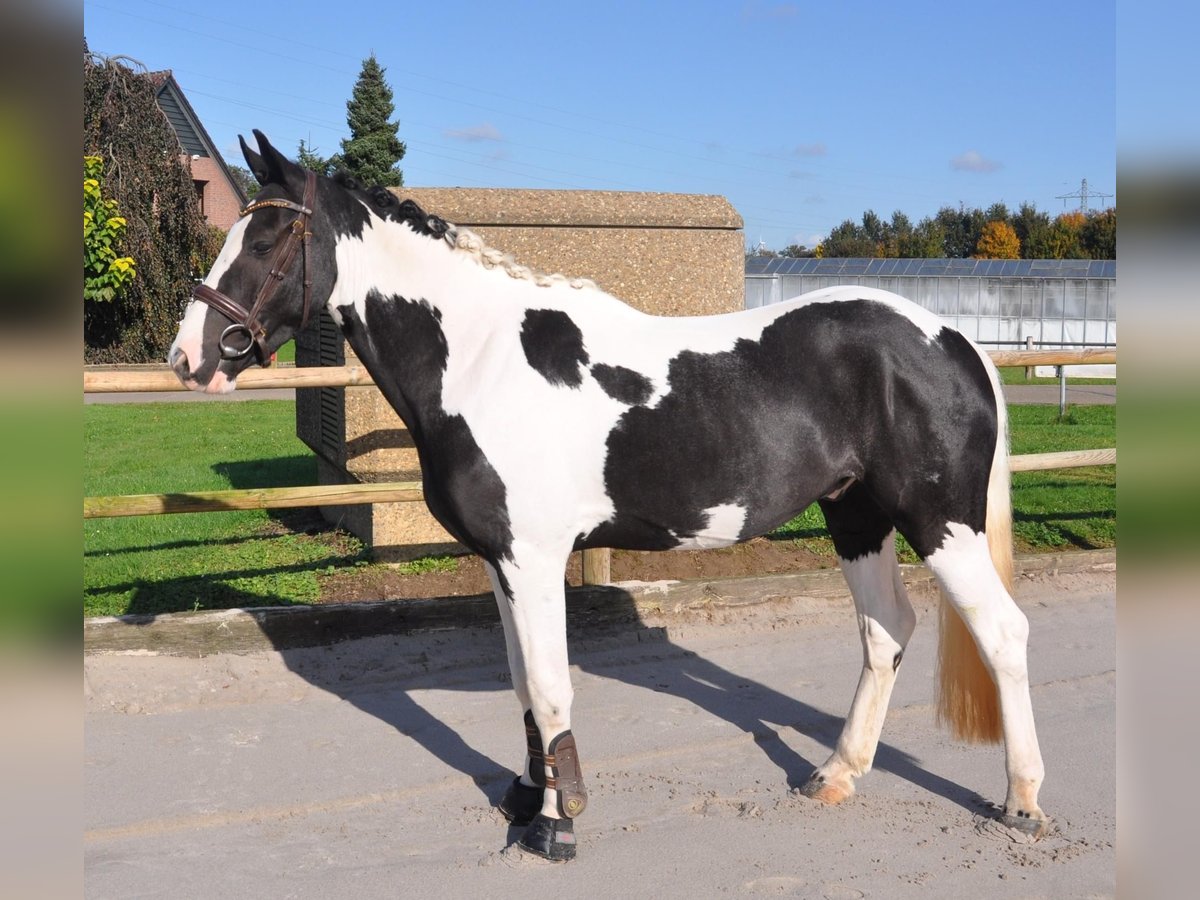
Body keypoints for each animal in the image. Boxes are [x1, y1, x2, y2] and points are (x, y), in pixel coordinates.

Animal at [169, 130, 1051, 864]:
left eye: (268, 238)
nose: (188, 358)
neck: (481, 359)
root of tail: (954, 340)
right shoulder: (502, 561)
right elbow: (525, 685)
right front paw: (529, 799)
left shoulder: (533, 557)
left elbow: (552, 686)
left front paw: (559, 825)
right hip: (857, 514)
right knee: (885, 632)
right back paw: (834, 775)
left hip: (939, 523)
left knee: (1004, 632)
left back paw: (1022, 802)